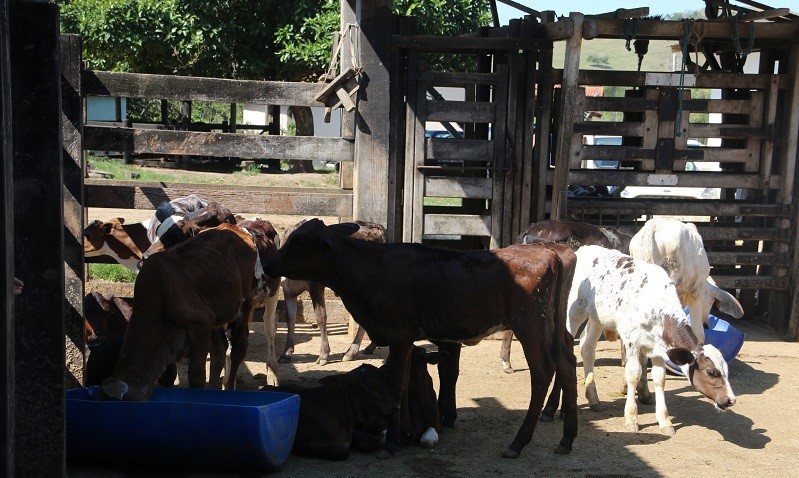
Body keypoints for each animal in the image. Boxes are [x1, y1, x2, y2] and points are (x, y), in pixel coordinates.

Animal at [262, 364, 394, 462]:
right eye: (371, 386)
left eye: (386, 382)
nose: (395, 406)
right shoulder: (300, 442)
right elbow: (342, 451)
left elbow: (369, 441)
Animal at [278, 219, 388, 366]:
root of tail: (378, 228)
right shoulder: (288, 290)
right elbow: (290, 318)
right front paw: (286, 353)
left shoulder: (315, 286)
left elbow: (320, 317)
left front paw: (324, 355)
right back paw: (366, 348)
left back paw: (352, 352)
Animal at [564, 245, 736, 436]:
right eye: (711, 372)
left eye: (726, 370)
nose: (731, 400)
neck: (657, 304)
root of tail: (584, 249)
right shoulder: (631, 339)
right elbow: (633, 374)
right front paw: (631, 418)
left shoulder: (658, 347)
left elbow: (659, 378)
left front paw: (664, 421)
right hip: (574, 311)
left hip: (598, 318)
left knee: (587, 347)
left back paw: (593, 399)